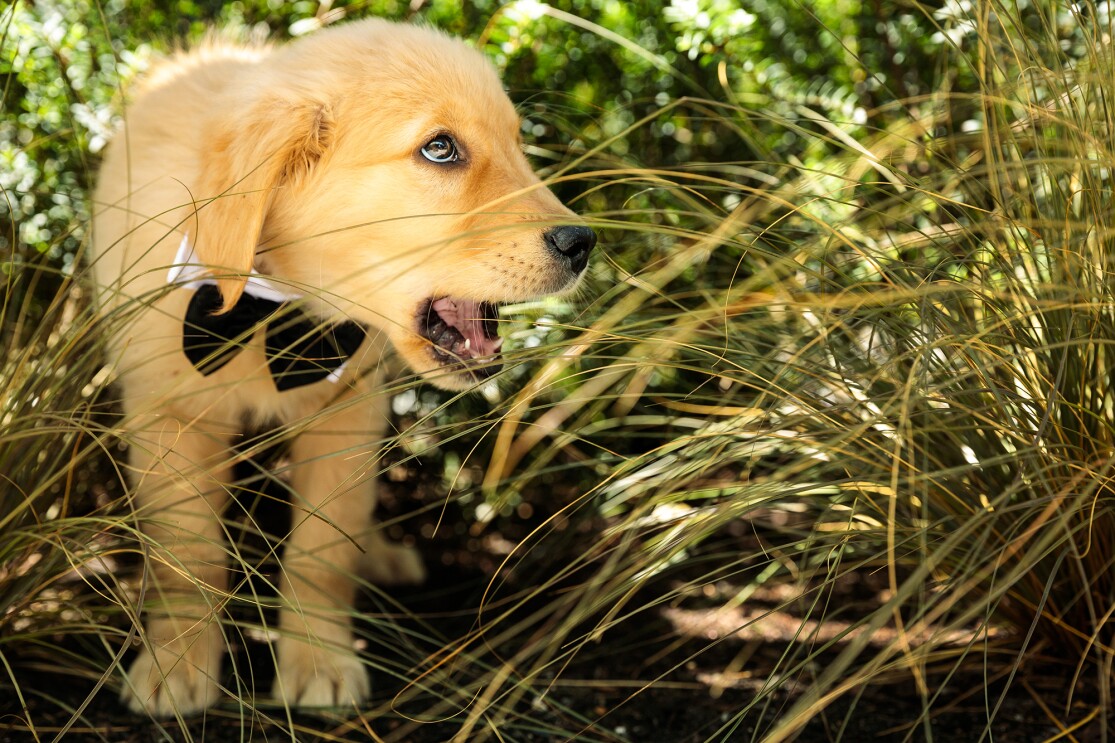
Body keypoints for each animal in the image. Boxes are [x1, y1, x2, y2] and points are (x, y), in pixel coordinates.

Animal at [91, 17, 597, 713]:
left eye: (518, 144)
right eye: (441, 149)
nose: (584, 243)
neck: (277, 309)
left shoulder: (347, 415)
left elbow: (322, 551)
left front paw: (319, 662)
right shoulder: (169, 417)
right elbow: (186, 555)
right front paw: (175, 665)